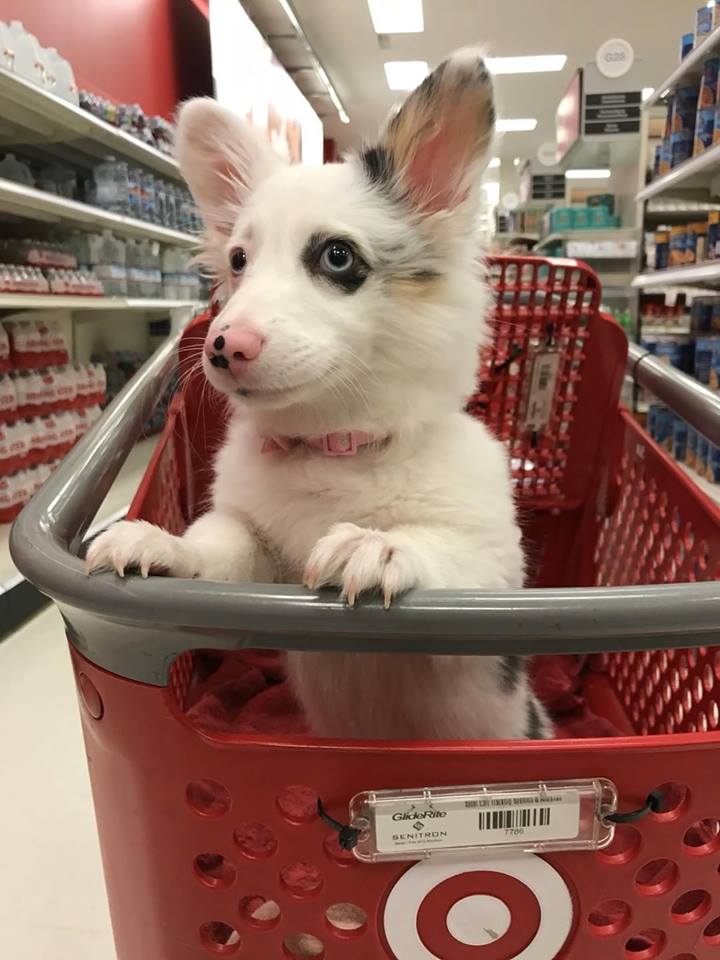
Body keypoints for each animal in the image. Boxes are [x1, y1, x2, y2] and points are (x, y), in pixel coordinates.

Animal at [86, 48, 552, 744]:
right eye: (238, 260)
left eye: (337, 257)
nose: (222, 347)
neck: (335, 447)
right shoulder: (253, 545)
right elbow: (218, 549)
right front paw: (165, 547)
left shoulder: (493, 593)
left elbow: (447, 552)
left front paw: (379, 543)